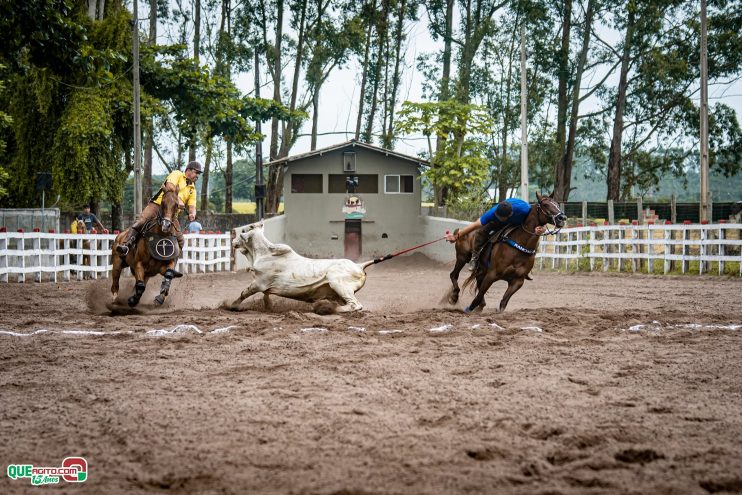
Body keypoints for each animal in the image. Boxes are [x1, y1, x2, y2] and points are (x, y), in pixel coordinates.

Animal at [230, 222, 374, 312]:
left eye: (243, 231)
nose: (233, 241)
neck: (264, 253)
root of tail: (359, 265)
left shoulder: (258, 283)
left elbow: (244, 293)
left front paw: (232, 306)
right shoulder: (264, 286)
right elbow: (266, 296)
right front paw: (268, 307)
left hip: (338, 284)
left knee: (355, 305)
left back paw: (326, 308)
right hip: (338, 292)